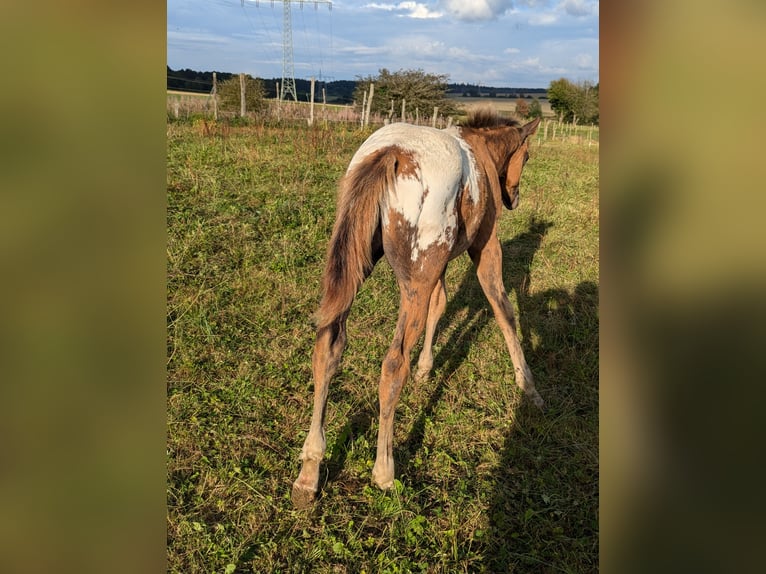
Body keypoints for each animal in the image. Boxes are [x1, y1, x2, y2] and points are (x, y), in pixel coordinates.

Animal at [292, 112, 544, 508]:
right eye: (528, 155)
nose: (513, 198)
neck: (482, 151)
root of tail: (391, 153)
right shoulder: (485, 247)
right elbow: (502, 307)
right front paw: (529, 387)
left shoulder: (438, 266)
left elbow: (440, 305)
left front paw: (427, 369)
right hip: (415, 279)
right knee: (394, 363)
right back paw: (384, 471)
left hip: (358, 264)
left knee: (327, 348)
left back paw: (309, 472)